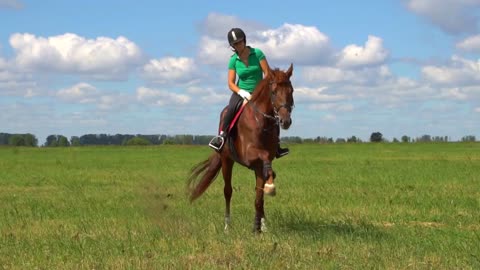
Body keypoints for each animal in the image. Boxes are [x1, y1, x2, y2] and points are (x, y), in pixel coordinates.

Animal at [187, 64, 292, 233]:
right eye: (274, 92)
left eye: (291, 91)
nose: (285, 121)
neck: (261, 122)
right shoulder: (249, 155)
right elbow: (263, 158)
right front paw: (270, 186)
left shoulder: (261, 163)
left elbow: (259, 198)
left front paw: (258, 227)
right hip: (226, 161)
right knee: (227, 191)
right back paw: (227, 227)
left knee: (258, 194)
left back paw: (263, 224)